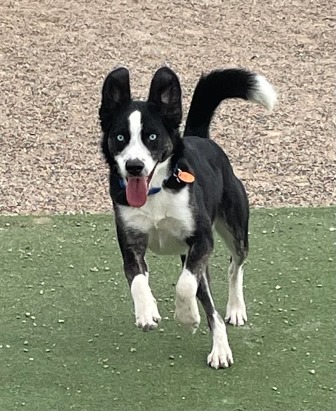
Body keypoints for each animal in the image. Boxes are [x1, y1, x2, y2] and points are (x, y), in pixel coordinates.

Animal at [98, 65, 276, 370]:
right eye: (120, 137)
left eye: (152, 137)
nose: (134, 166)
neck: (156, 191)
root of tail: (201, 138)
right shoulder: (131, 244)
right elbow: (138, 279)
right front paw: (146, 312)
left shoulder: (201, 241)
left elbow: (184, 285)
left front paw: (187, 316)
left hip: (234, 228)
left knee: (232, 271)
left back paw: (229, 325)